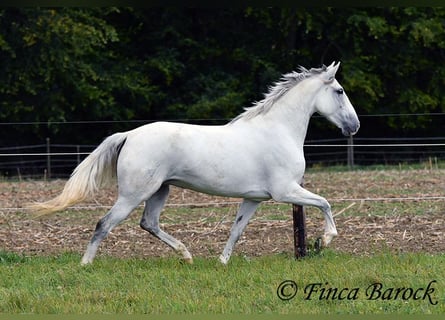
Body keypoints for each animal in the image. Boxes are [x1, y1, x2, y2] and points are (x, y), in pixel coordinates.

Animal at [30, 62, 358, 264]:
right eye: (340, 91)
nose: (354, 126)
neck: (278, 130)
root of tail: (129, 135)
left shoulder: (254, 198)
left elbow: (237, 230)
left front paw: (221, 262)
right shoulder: (286, 191)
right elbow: (325, 202)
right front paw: (325, 240)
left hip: (160, 191)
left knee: (148, 223)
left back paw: (186, 255)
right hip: (134, 194)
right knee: (104, 223)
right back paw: (85, 264)